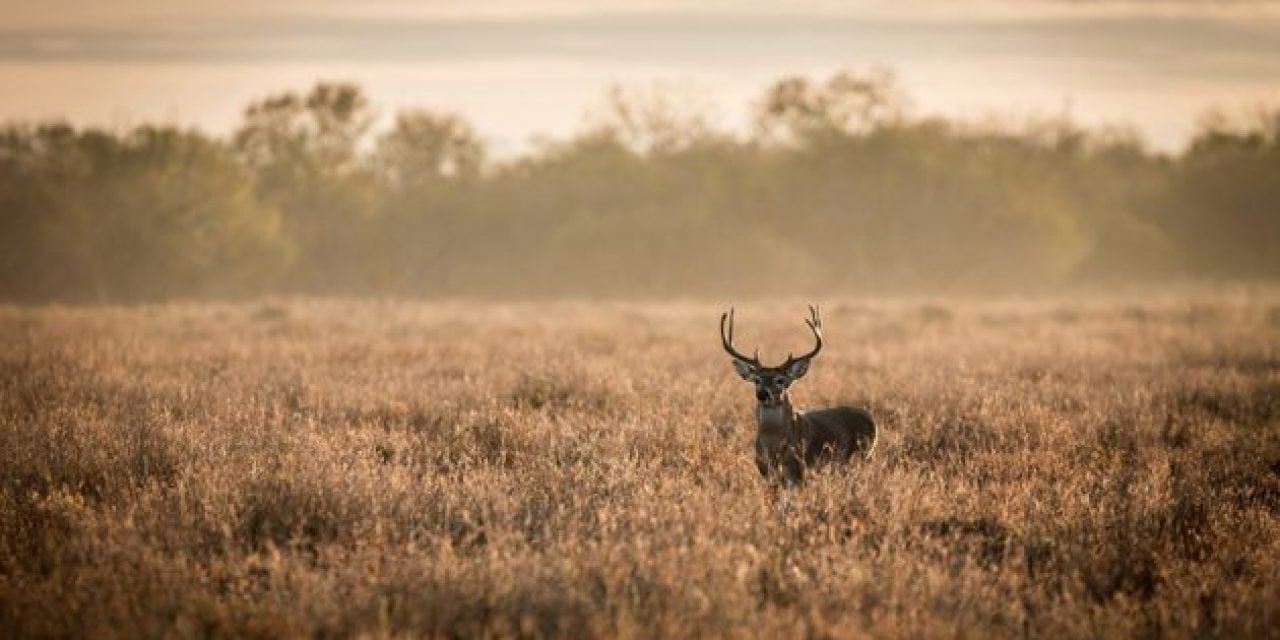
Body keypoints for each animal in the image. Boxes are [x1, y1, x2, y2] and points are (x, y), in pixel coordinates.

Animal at [721, 304, 880, 483]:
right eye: (756, 380)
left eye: (780, 380)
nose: (762, 394)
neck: (773, 445)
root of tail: (869, 416)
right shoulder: (764, 468)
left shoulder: (796, 466)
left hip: (863, 454)